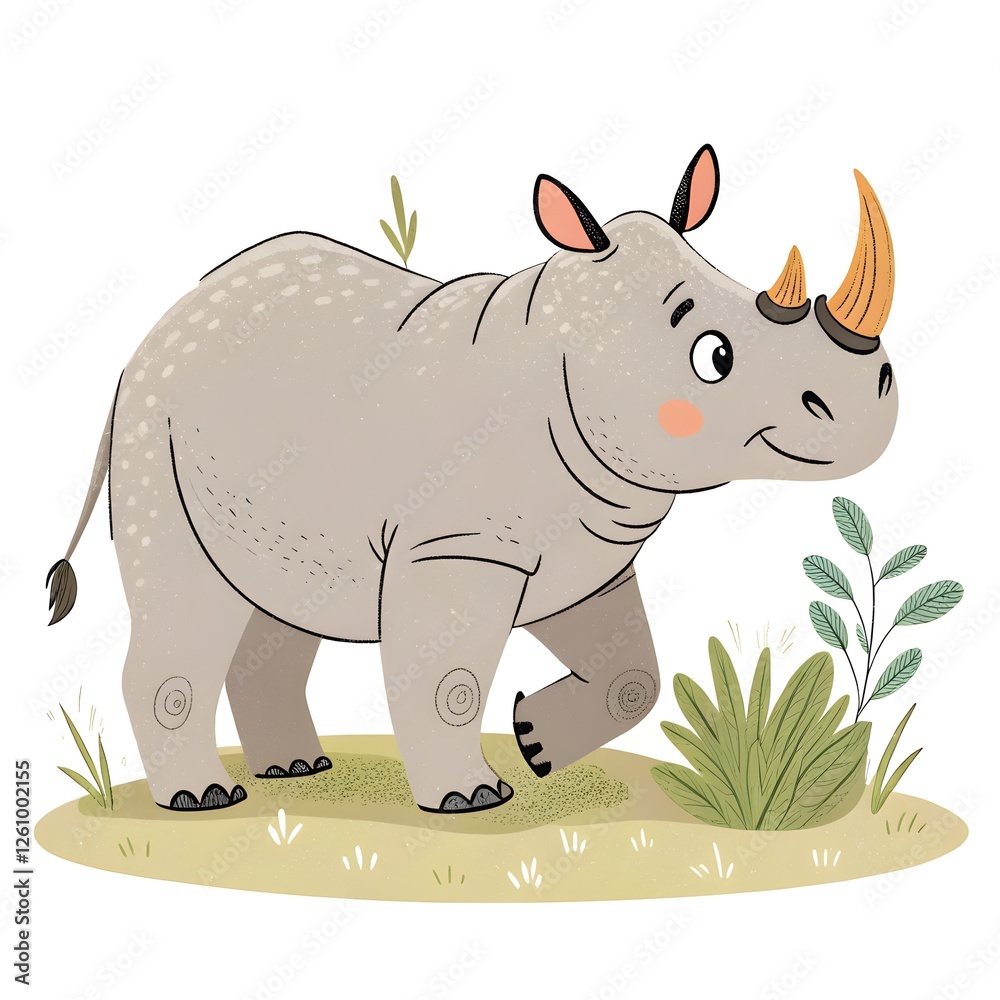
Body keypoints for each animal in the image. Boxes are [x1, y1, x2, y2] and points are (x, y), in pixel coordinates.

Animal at [46, 144, 897, 813]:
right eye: (714, 356)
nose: (873, 397)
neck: (571, 340)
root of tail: (140, 352)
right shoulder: (461, 543)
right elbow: (448, 678)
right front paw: (472, 797)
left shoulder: (582, 550)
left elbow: (633, 673)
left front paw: (535, 744)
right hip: (158, 435)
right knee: (189, 595)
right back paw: (204, 799)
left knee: (276, 604)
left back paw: (297, 770)